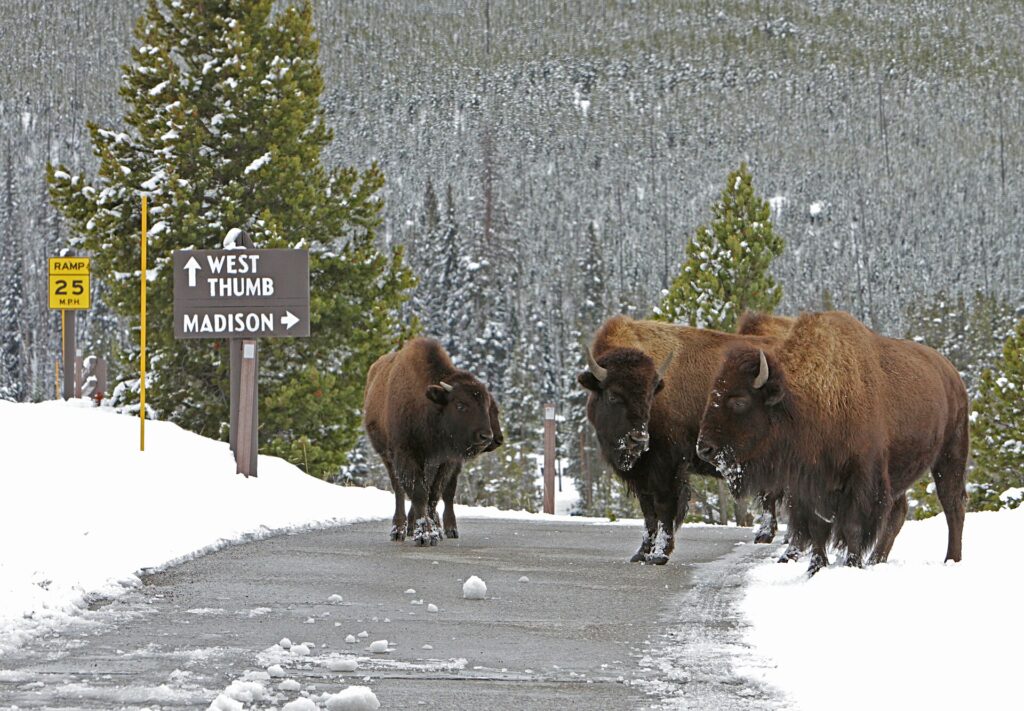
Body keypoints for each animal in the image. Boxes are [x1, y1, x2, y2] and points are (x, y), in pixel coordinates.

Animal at [364, 338, 503, 545]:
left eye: (487, 407)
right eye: (460, 405)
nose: (487, 437)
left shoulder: (446, 460)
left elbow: (436, 493)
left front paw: (437, 530)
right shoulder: (406, 455)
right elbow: (419, 493)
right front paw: (426, 535)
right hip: (387, 456)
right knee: (399, 491)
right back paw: (398, 531)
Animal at [578, 315, 781, 564]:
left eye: (649, 395)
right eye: (613, 395)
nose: (638, 439)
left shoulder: (667, 466)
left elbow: (664, 508)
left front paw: (659, 554)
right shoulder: (642, 474)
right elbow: (648, 512)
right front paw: (641, 553)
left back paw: (766, 536)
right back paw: (765, 536)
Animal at [696, 311, 968, 575]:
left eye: (739, 400)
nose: (704, 448)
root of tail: (952, 374)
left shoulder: (860, 479)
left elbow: (852, 526)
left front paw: (852, 565)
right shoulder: (806, 484)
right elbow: (818, 527)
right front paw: (815, 568)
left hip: (950, 455)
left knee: (952, 504)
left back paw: (951, 559)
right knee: (898, 512)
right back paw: (876, 561)